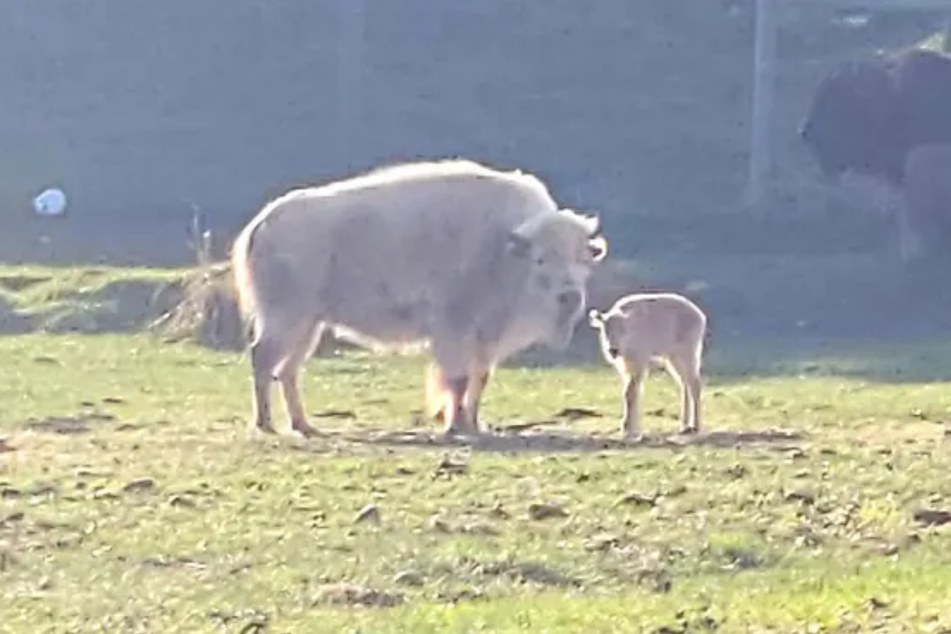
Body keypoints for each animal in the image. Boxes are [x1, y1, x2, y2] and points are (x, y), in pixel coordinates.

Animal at [229, 156, 608, 436]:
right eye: (541, 259)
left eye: (583, 259)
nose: (570, 296)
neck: (504, 248)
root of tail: (262, 223)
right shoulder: (453, 327)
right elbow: (456, 379)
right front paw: (455, 426)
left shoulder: (486, 335)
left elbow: (479, 378)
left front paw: (474, 424)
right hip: (287, 318)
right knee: (263, 359)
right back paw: (266, 424)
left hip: (310, 324)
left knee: (288, 369)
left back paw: (304, 425)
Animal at [588, 292, 708, 436]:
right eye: (605, 329)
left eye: (623, 330)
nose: (613, 350)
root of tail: (700, 316)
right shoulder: (626, 366)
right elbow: (630, 392)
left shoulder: (639, 363)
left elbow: (631, 392)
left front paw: (627, 427)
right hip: (673, 358)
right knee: (685, 384)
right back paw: (684, 426)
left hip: (687, 354)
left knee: (695, 384)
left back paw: (695, 426)